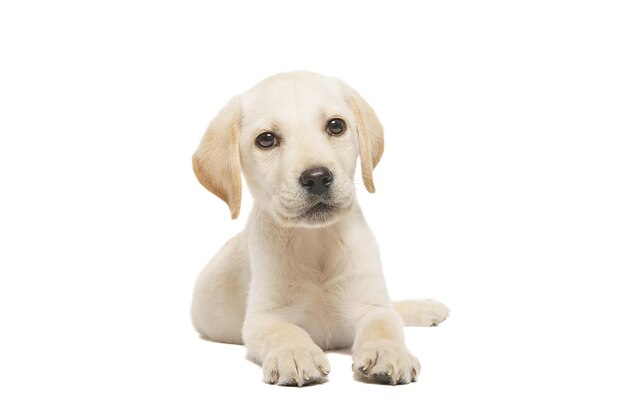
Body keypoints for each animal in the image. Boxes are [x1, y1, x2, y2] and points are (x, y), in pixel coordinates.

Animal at [188, 70, 446, 384]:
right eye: (266, 140)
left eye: (336, 125)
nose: (317, 177)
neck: (317, 241)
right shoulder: (264, 317)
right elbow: (284, 331)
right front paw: (295, 354)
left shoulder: (368, 304)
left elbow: (383, 323)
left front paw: (388, 352)